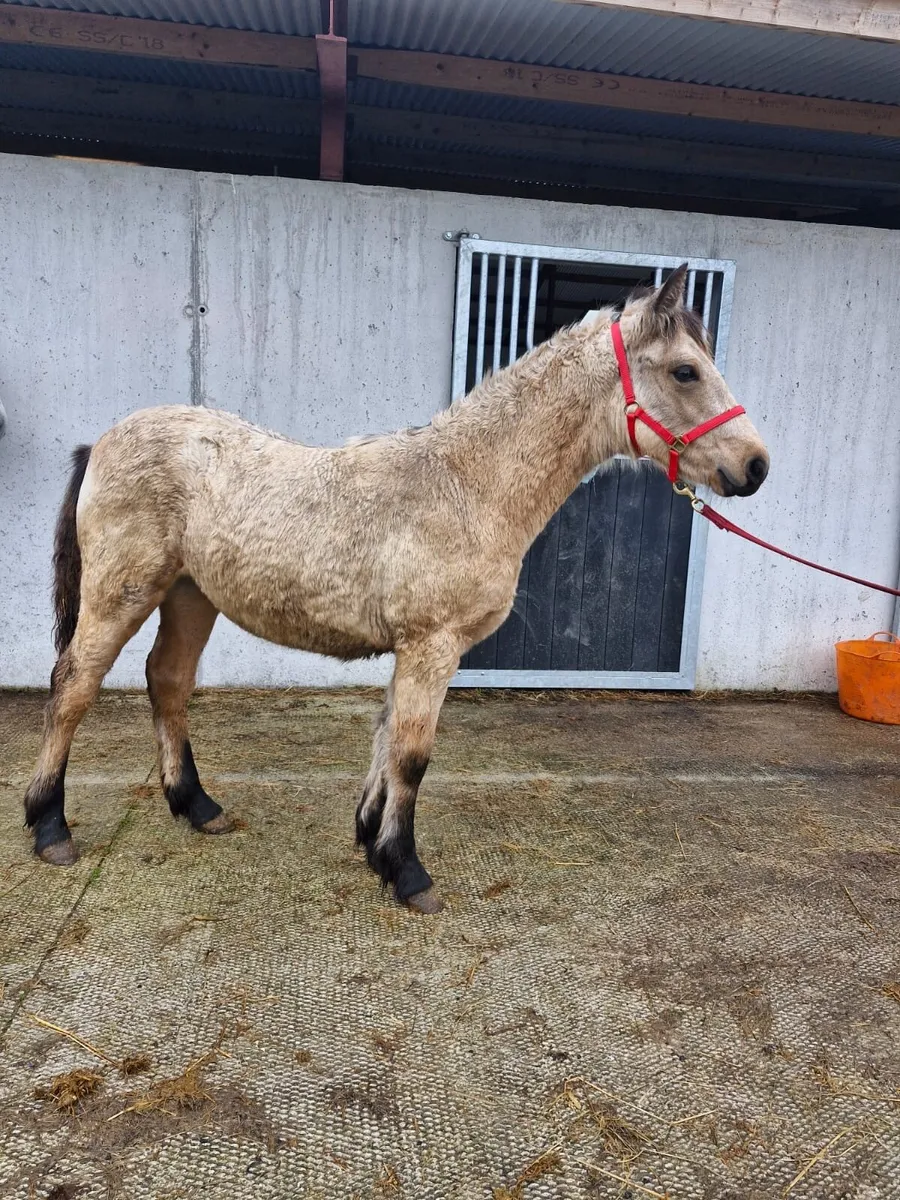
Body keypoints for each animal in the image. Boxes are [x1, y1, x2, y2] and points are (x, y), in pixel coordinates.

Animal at [23, 265, 768, 913]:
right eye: (685, 370)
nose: (755, 466)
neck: (467, 483)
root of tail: (104, 441)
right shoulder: (431, 645)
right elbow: (412, 754)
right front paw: (407, 872)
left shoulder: (413, 649)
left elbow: (385, 738)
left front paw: (370, 840)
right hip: (123, 591)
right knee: (74, 684)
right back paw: (49, 825)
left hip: (188, 593)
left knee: (168, 681)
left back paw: (197, 806)